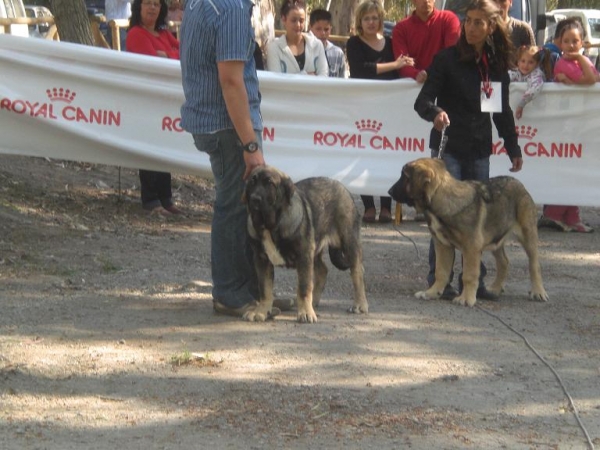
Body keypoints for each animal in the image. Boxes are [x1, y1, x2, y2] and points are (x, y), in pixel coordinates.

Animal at [241, 167, 368, 322]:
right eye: (252, 182)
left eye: (270, 183)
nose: (255, 199)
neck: (270, 226)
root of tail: (344, 188)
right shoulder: (261, 259)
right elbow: (265, 288)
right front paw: (261, 311)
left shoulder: (303, 256)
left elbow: (304, 287)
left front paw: (306, 313)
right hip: (315, 248)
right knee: (323, 270)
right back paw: (314, 302)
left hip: (349, 241)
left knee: (357, 271)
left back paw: (360, 304)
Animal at [390, 156, 548, 308]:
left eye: (404, 176)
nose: (389, 191)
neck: (443, 199)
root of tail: (518, 183)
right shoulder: (442, 245)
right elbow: (441, 271)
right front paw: (432, 293)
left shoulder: (471, 248)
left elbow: (469, 275)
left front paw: (466, 298)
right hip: (495, 237)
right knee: (504, 262)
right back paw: (495, 288)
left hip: (527, 234)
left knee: (534, 265)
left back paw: (538, 292)